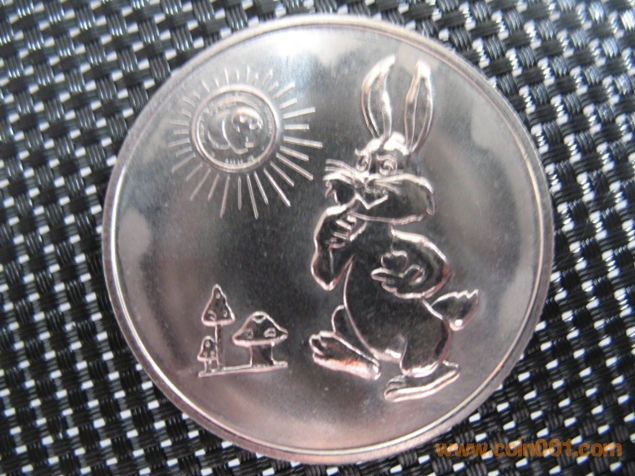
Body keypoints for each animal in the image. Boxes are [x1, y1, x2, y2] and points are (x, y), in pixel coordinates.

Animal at [309, 56, 479, 402]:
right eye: (361, 163)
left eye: (387, 168)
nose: (361, 180)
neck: (371, 238)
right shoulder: (352, 244)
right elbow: (329, 276)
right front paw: (330, 227)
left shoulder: (409, 241)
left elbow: (439, 268)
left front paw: (400, 280)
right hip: (344, 318)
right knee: (366, 355)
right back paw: (341, 353)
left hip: (426, 340)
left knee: (439, 369)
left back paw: (407, 385)